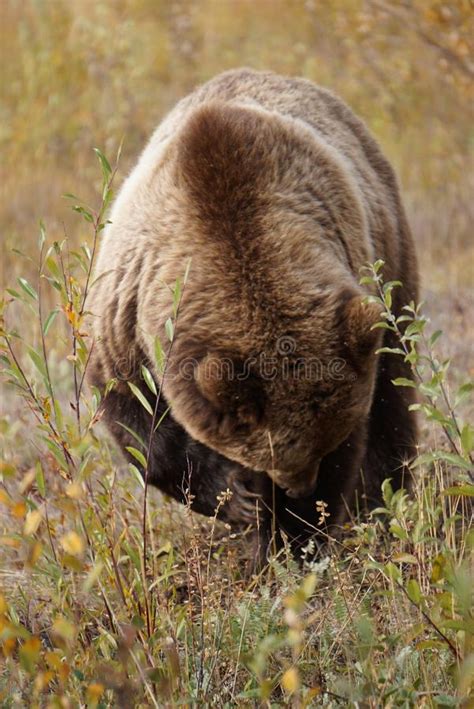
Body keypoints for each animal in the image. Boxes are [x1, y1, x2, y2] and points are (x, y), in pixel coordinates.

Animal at [89, 68, 418, 564]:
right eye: (278, 453)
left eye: (323, 445)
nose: (299, 486)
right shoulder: (128, 314)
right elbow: (138, 421)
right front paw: (240, 502)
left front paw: (291, 538)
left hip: (390, 255)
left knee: (394, 396)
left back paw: (382, 505)